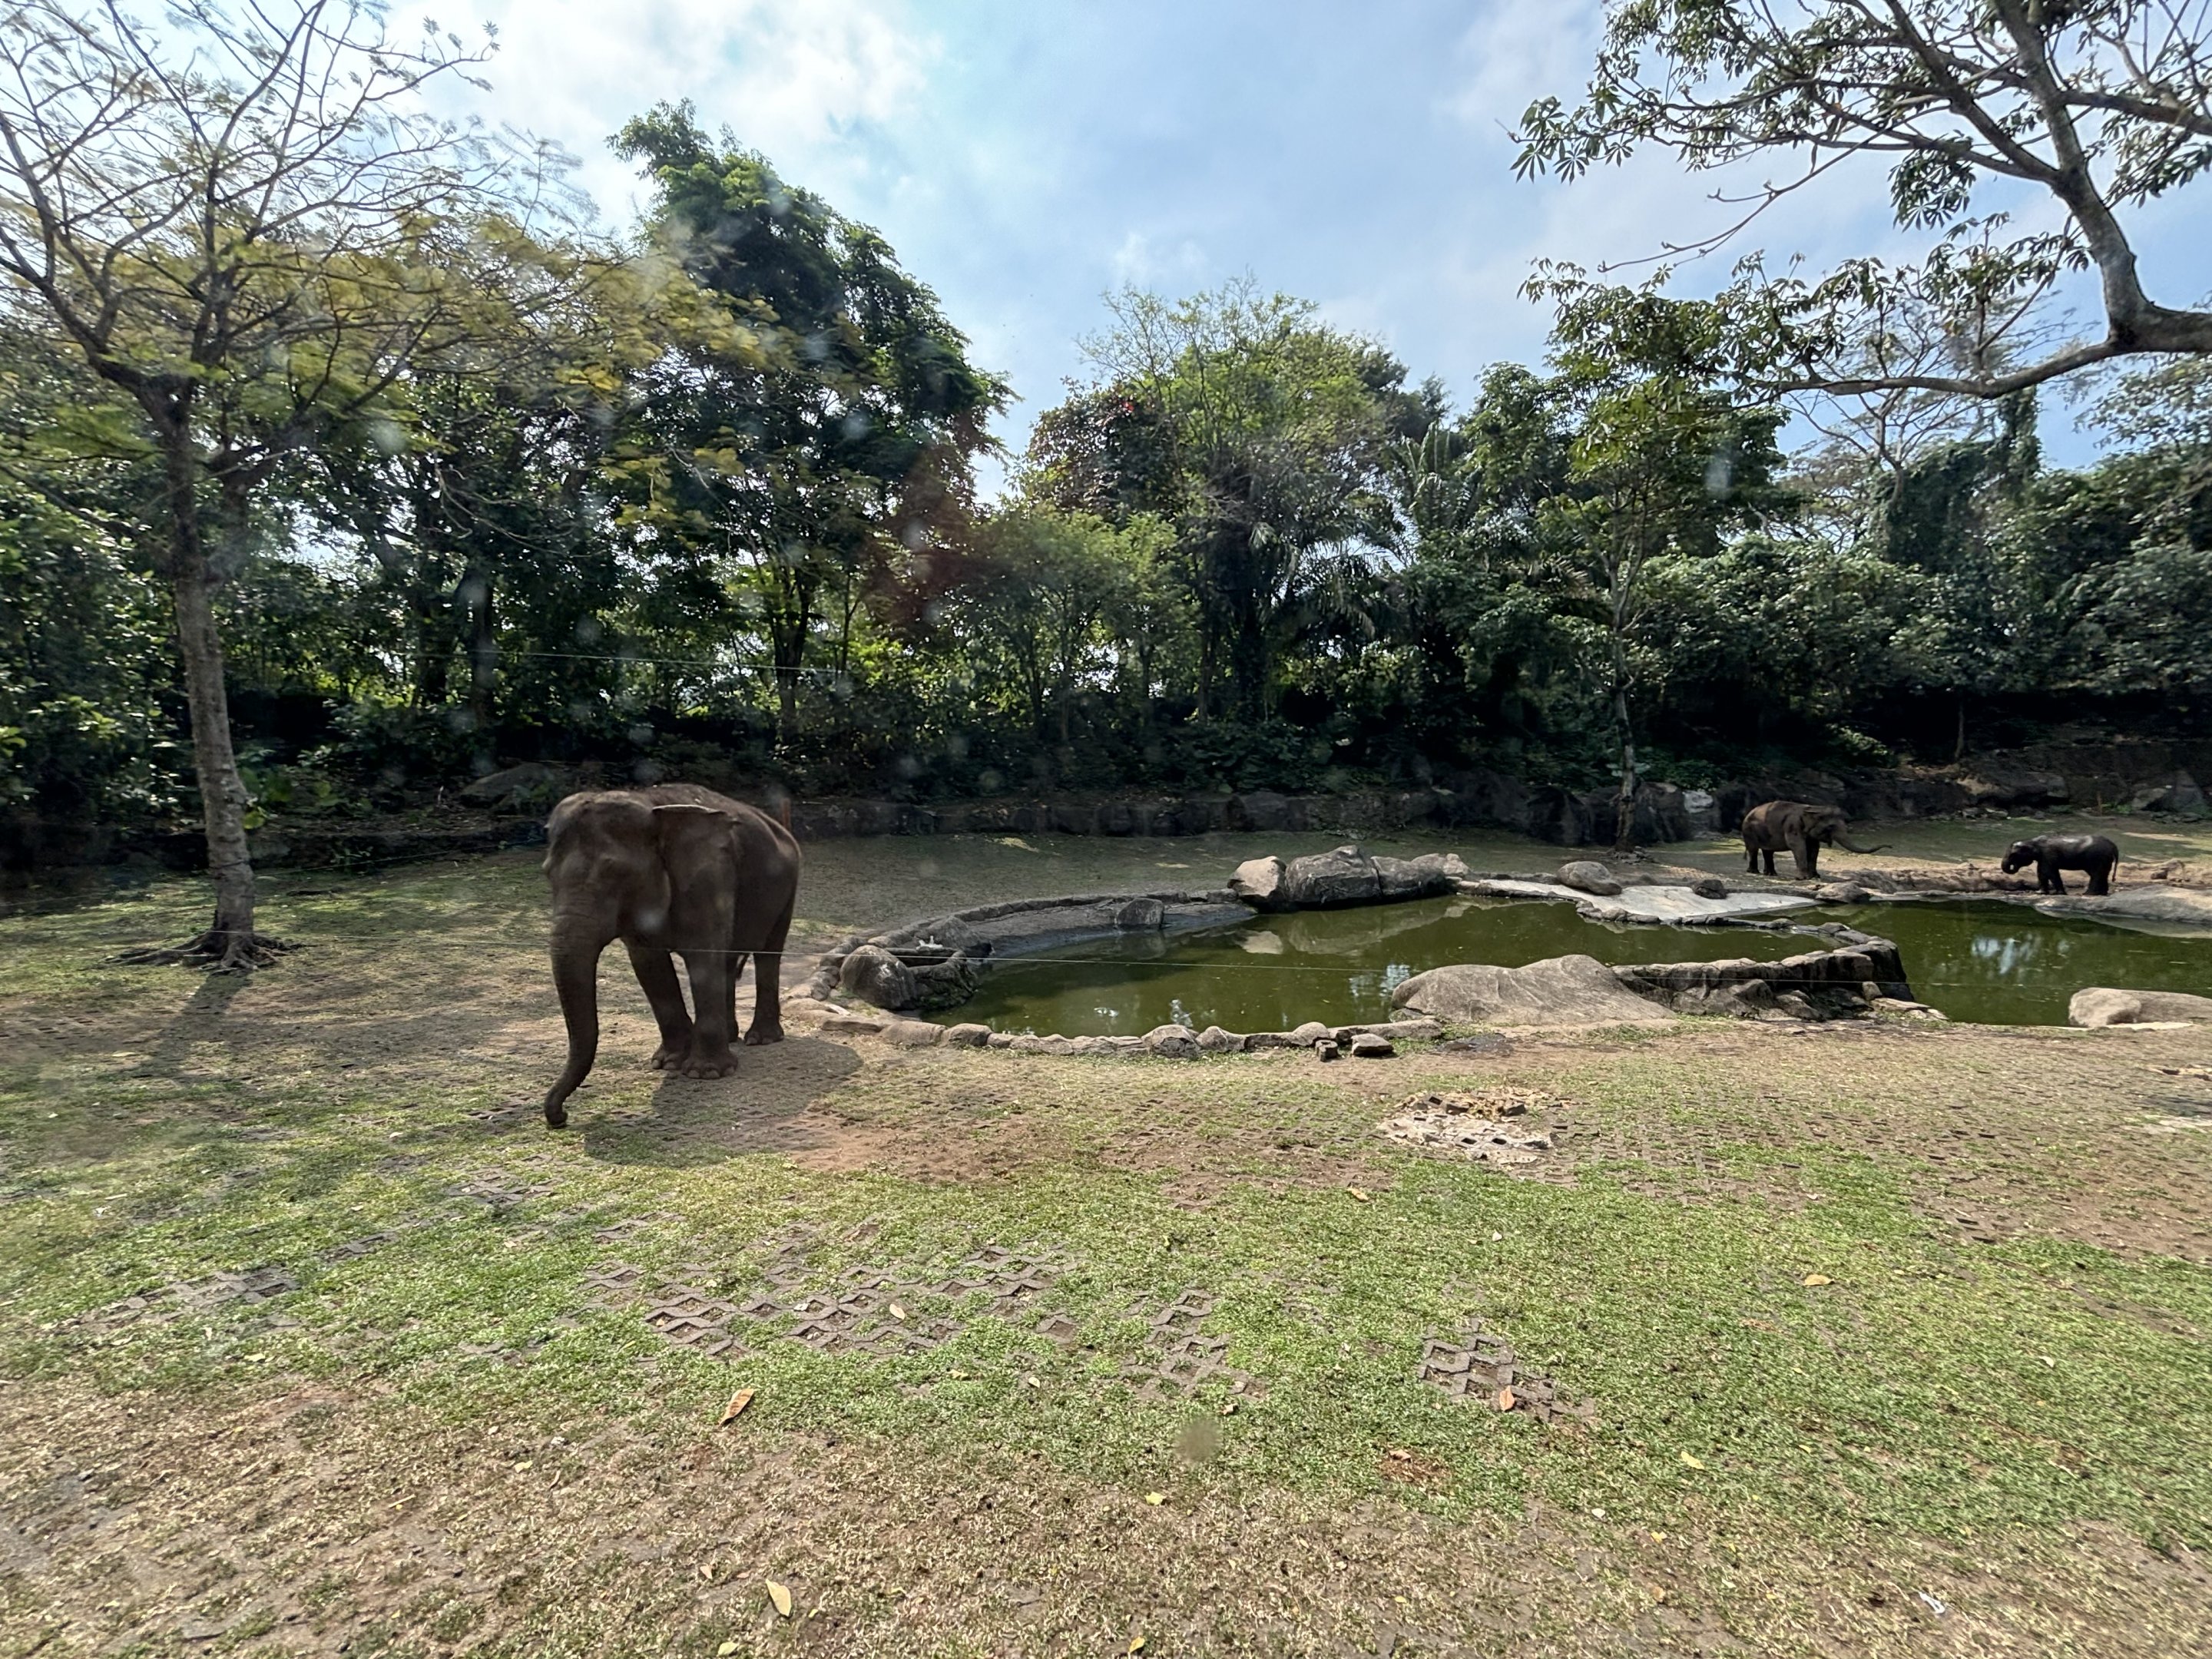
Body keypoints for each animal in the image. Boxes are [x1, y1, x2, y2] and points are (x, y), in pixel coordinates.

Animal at [540, 783, 800, 1128]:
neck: (651, 806)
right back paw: (732, 1036)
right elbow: (649, 965)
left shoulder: (709, 878)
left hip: (788, 890)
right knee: (728, 961)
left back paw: (762, 1039)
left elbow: (703, 957)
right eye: (547, 874)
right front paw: (668, 1063)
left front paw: (706, 1073)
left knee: (768, 955)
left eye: (615, 873)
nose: (561, 1117)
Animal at [1740, 799, 1887, 880]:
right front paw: (1803, 878)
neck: (1812, 808)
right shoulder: (1793, 826)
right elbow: (1798, 847)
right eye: (1831, 826)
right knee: (1754, 849)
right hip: (1749, 831)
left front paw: (1815, 877)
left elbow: (1814, 849)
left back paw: (1770, 874)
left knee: (1768, 851)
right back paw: (1754, 872)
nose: (1889, 846)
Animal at [2001, 833, 2118, 896]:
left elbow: (2049, 872)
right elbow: (2041, 873)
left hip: (2097, 857)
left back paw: (2087, 894)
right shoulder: (2044, 858)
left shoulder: (2048, 855)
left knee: (2096, 874)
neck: (2032, 841)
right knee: (2103, 874)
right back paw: (2102, 894)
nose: (2014, 866)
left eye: (2013, 855)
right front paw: (2041, 893)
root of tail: (2113, 845)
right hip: (2105, 859)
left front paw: (2059, 894)